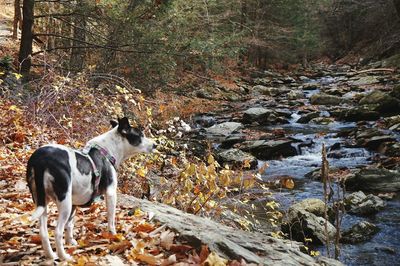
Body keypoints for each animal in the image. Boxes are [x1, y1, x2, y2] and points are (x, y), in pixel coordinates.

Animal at [26, 117, 155, 260]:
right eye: (140, 135)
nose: (155, 145)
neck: (107, 151)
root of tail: (40, 160)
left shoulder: (74, 203)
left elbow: (70, 224)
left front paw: (70, 241)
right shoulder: (110, 193)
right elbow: (111, 219)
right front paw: (113, 236)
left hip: (42, 201)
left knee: (43, 232)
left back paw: (51, 255)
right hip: (64, 201)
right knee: (57, 231)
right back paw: (64, 256)